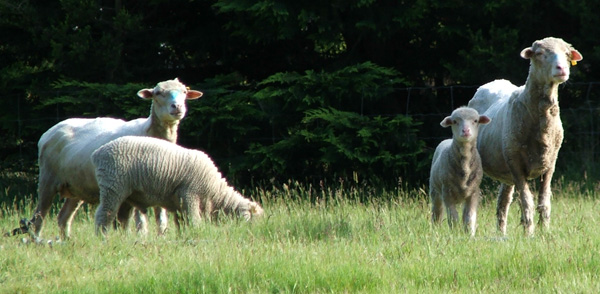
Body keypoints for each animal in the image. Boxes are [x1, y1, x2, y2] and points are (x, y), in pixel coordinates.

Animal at [25, 78, 203, 241]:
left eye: (184, 92)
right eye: (158, 93)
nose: (177, 107)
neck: (148, 132)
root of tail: (50, 131)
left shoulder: (162, 183)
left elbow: (160, 216)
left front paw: (161, 236)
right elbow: (139, 218)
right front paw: (141, 237)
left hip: (76, 186)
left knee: (63, 217)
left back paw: (66, 240)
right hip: (48, 180)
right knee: (39, 216)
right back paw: (37, 239)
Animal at [91, 136, 262, 237]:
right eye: (250, 218)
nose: (252, 234)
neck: (215, 193)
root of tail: (97, 153)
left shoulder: (180, 203)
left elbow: (181, 222)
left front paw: (183, 237)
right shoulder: (190, 195)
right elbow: (194, 220)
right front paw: (196, 234)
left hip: (126, 194)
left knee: (122, 218)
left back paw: (123, 239)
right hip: (112, 187)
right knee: (103, 215)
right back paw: (102, 238)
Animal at [428, 107, 490, 235]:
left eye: (475, 121)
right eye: (455, 121)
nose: (466, 131)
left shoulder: (474, 192)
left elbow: (469, 217)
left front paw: (469, 234)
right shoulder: (447, 193)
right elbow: (453, 217)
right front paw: (455, 233)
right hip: (435, 190)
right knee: (437, 212)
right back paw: (435, 229)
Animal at [466, 36, 584, 235]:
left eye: (567, 54)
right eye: (540, 53)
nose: (562, 69)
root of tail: (494, 81)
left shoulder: (550, 164)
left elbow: (544, 202)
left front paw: (544, 231)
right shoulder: (516, 164)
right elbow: (527, 202)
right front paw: (529, 233)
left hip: (506, 169)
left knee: (503, 202)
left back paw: (502, 234)